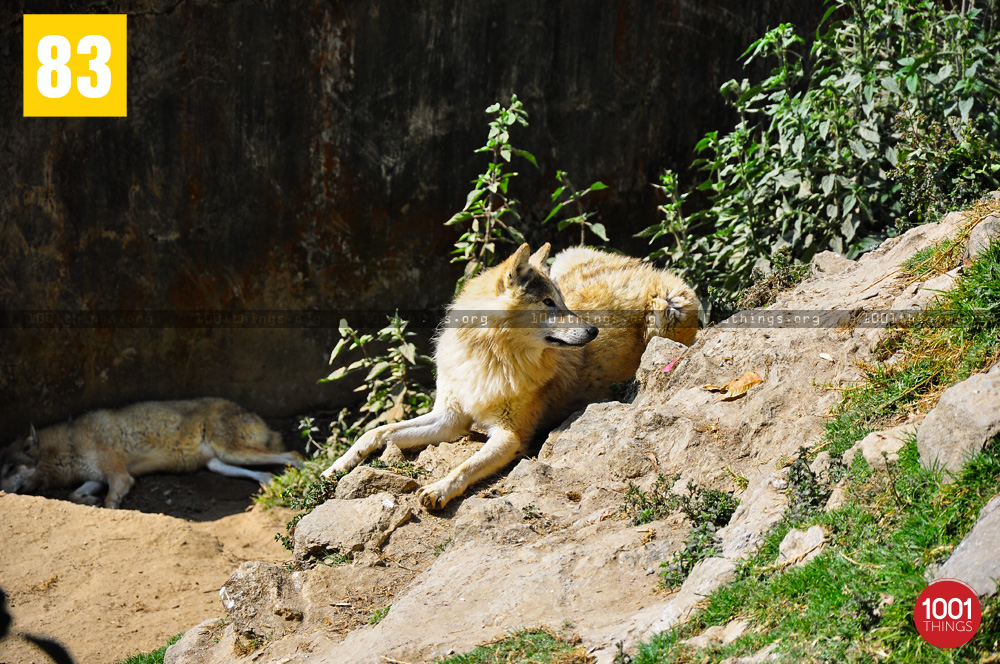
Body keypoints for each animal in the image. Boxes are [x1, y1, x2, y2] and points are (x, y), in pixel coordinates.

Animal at [1, 400, 302, 508]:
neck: (70, 444)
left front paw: (107, 506)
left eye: (9, 469)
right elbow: (75, 494)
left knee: (294, 454)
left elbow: (111, 500)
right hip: (220, 463)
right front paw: (88, 500)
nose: (2, 491)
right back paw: (271, 485)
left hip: (234, 452)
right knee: (266, 473)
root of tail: (252, 413)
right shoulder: (97, 477)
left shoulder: (120, 477)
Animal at [320, 244, 696, 508]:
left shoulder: (509, 436)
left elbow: (465, 466)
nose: (593, 330)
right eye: (548, 303)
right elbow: (376, 432)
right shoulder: (449, 419)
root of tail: (646, 268)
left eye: (562, 302)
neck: (489, 358)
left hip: (665, 309)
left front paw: (438, 490)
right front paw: (335, 468)